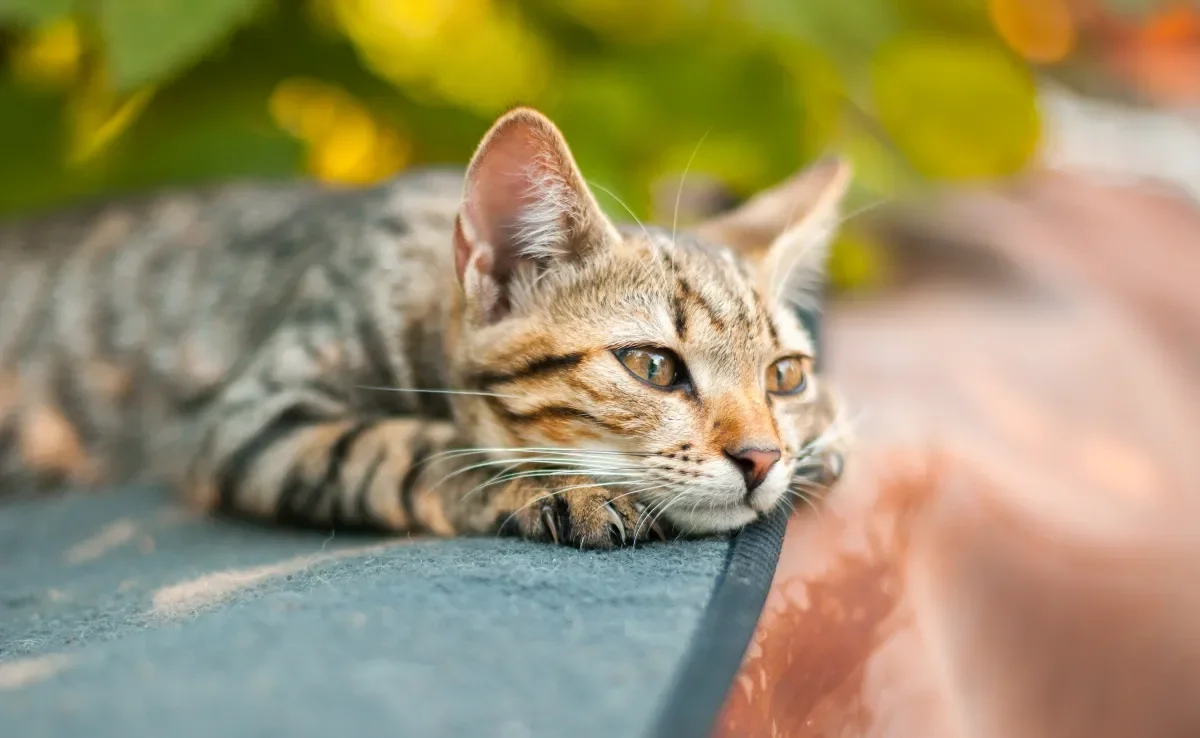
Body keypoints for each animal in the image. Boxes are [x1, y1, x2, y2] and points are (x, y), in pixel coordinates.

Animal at [0, 108, 849, 549]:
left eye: (784, 376)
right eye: (652, 366)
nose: (762, 458)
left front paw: (823, 438)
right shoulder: (255, 416)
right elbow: (410, 444)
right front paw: (554, 483)